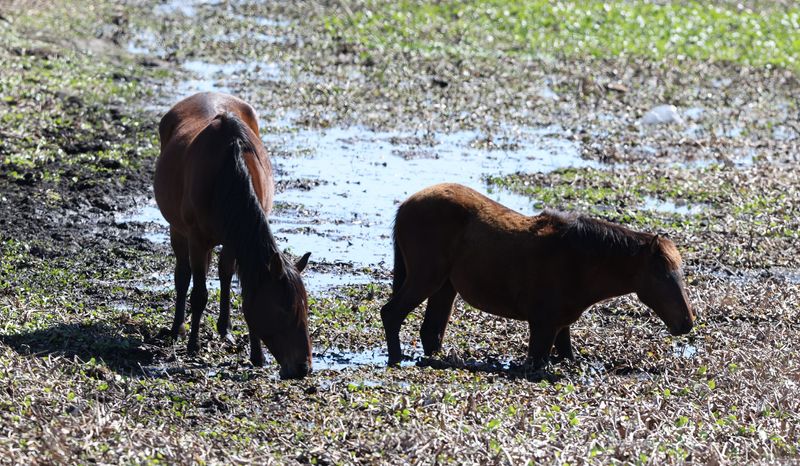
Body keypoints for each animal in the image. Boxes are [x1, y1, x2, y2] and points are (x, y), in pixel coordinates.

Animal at [154, 92, 312, 379]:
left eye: (305, 308)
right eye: (283, 310)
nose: (302, 368)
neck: (227, 171)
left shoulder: (236, 238)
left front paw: (257, 354)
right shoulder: (197, 239)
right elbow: (199, 294)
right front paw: (193, 345)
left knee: (224, 273)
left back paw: (224, 329)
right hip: (178, 230)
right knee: (183, 275)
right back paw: (178, 328)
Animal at [380, 183, 695, 369]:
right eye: (662, 275)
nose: (687, 322)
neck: (579, 260)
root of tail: (405, 206)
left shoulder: (560, 326)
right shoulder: (541, 327)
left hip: (445, 287)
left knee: (430, 331)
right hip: (426, 278)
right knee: (391, 314)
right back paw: (395, 359)